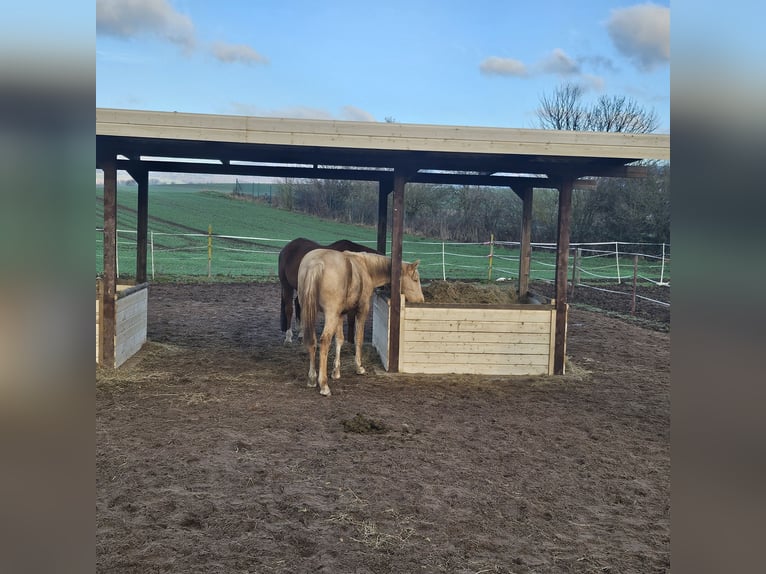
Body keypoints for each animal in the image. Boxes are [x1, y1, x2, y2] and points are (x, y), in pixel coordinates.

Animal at [298, 249, 424, 397]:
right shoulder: (362, 310)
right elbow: (358, 338)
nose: (421, 300)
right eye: (415, 279)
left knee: (312, 342)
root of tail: (316, 263)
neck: (365, 267)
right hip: (330, 314)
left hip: (311, 313)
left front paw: (336, 372)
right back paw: (323, 384)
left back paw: (312, 378)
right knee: (324, 342)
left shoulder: (340, 315)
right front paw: (359, 367)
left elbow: (339, 340)